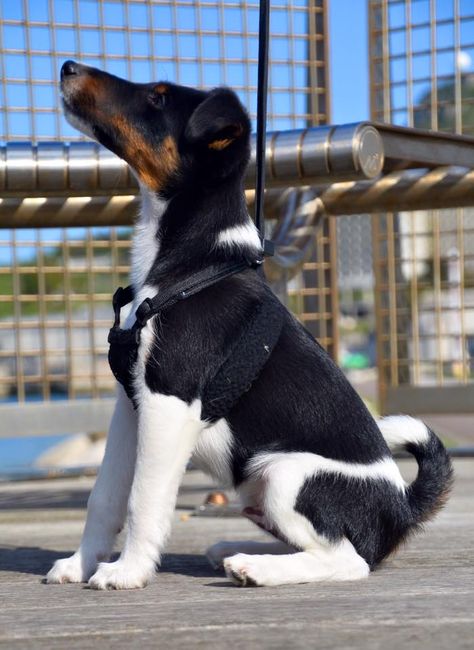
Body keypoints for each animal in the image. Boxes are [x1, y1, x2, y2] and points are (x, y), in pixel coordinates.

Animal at [46, 63, 454, 588]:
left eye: (158, 98)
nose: (68, 67)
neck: (190, 262)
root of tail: (402, 506)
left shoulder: (169, 401)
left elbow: (143, 500)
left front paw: (129, 571)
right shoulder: (130, 406)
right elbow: (105, 498)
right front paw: (79, 564)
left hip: (285, 475)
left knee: (349, 560)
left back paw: (254, 567)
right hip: (258, 487)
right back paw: (235, 552)